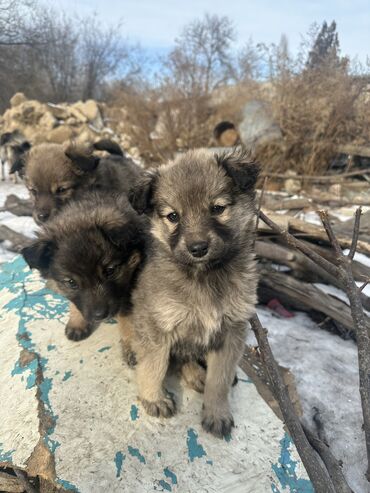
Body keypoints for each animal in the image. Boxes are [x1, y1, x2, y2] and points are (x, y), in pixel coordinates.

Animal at [21, 190, 147, 344]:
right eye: (71, 282)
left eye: (110, 271)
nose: (100, 315)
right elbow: (74, 302)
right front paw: (77, 323)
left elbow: (127, 315)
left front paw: (131, 342)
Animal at [125, 147, 260, 438]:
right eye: (173, 216)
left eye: (218, 209)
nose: (198, 248)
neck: (204, 277)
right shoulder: (158, 325)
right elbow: (154, 366)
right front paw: (154, 398)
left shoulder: (231, 330)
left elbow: (219, 380)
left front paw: (217, 412)